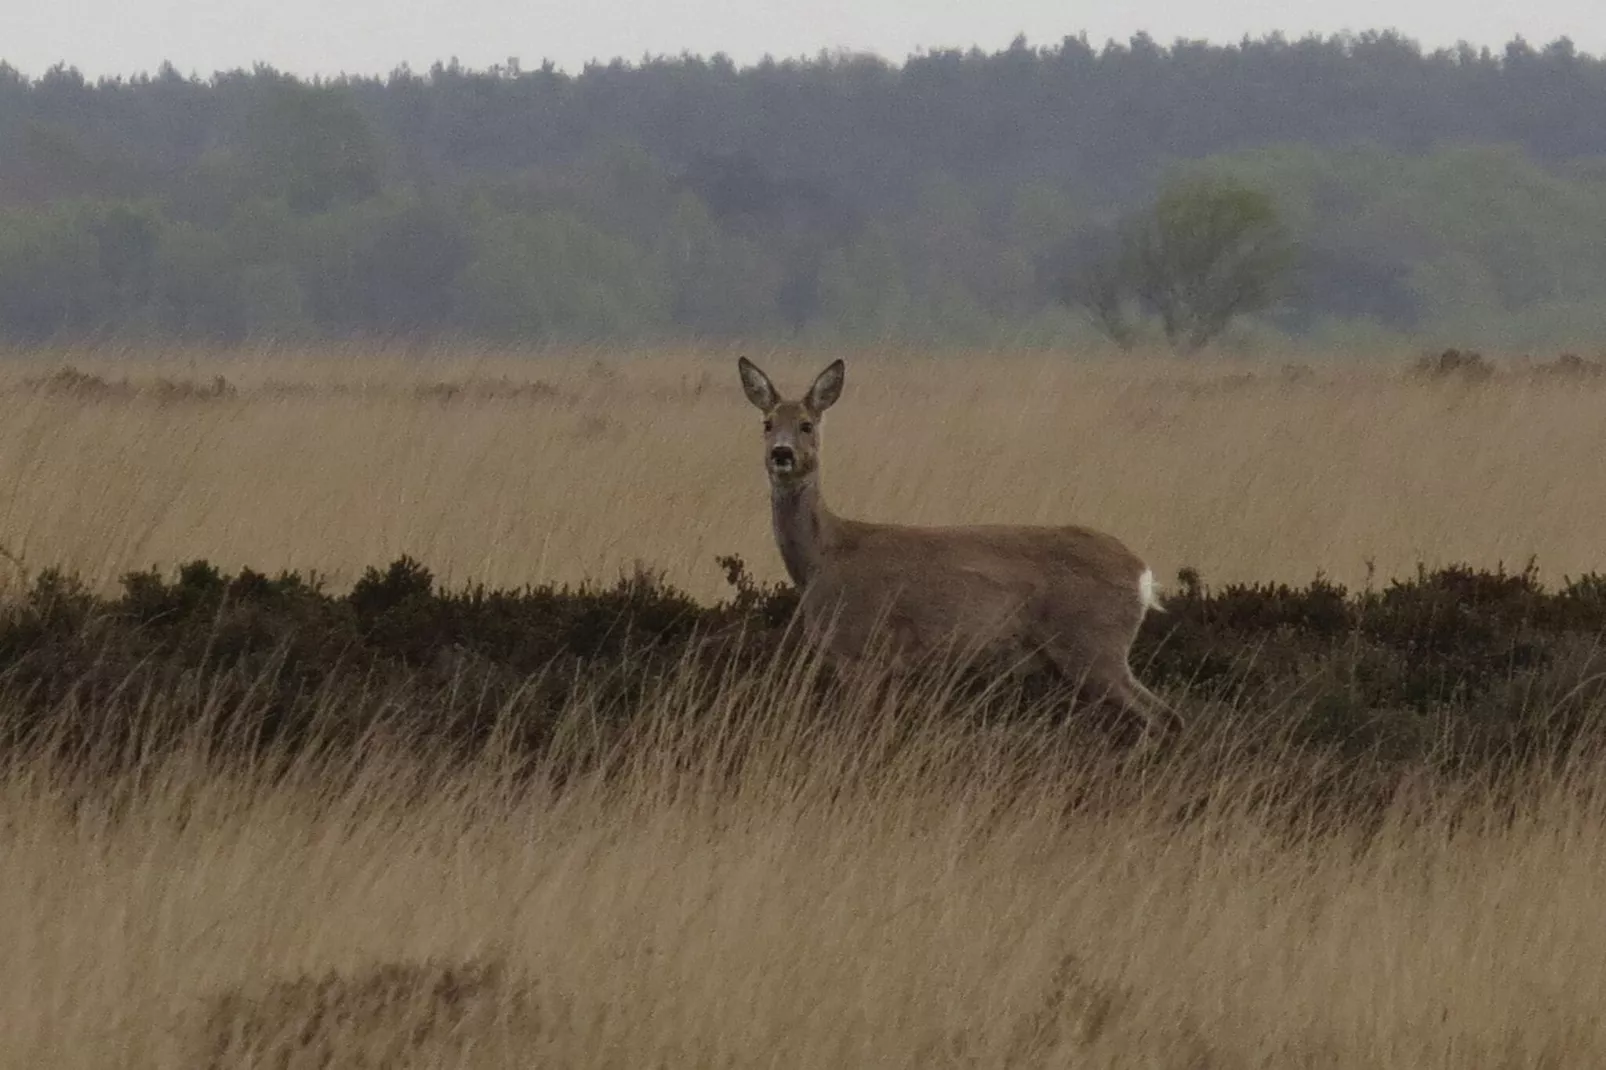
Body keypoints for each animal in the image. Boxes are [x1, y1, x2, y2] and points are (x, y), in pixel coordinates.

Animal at [738, 353, 1182, 739]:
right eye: (767, 422)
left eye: (807, 424)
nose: (782, 453)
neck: (824, 556)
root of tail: (1142, 574)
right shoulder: (891, 668)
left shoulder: (861, 649)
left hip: (1094, 645)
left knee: (1163, 715)